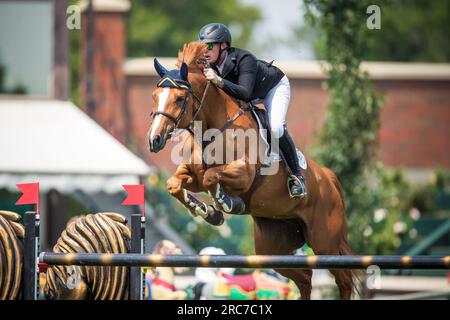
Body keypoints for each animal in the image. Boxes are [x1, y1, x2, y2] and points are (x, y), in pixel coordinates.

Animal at [149, 41, 356, 298]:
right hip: (273, 246)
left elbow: (212, 177)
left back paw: (296, 185)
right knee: (305, 279)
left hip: (325, 240)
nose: (154, 140)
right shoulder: (192, 175)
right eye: (155, 96)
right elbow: (175, 184)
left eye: (179, 98)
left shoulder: (243, 174)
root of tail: (327, 177)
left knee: (344, 279)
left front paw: (227, 204)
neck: (213, 128)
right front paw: (209, 212)